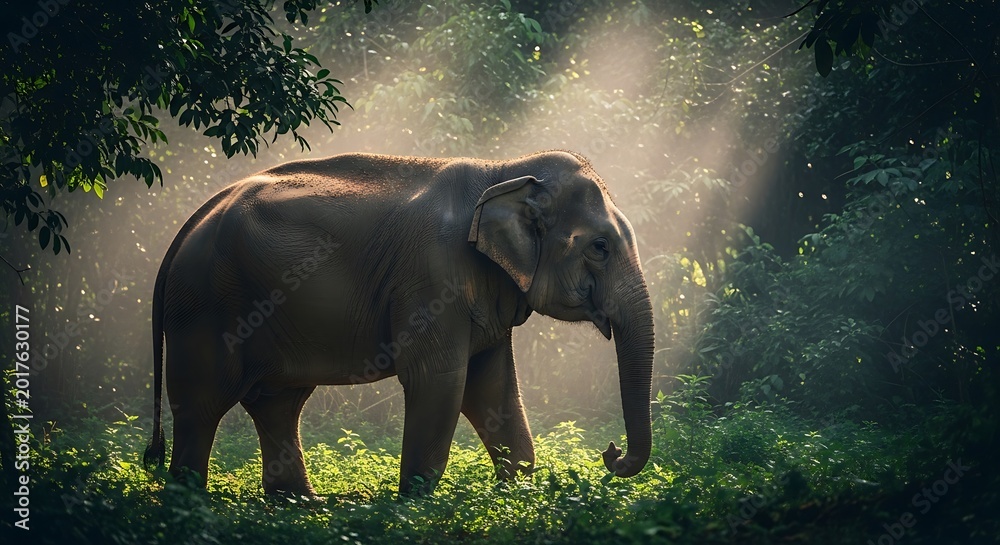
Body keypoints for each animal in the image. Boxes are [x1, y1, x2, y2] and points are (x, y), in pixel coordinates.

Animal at [143, 150, 655, 496]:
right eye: (600, 247)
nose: (610, 452)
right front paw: (414, 505)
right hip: (204, 307)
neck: (503, 170)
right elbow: (440, 380)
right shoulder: (432, 276)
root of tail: (186, 228)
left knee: (277, 402)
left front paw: (516, 497)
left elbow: (492, 386)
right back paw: (192, 505)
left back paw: (301, 505)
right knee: (203, 403)